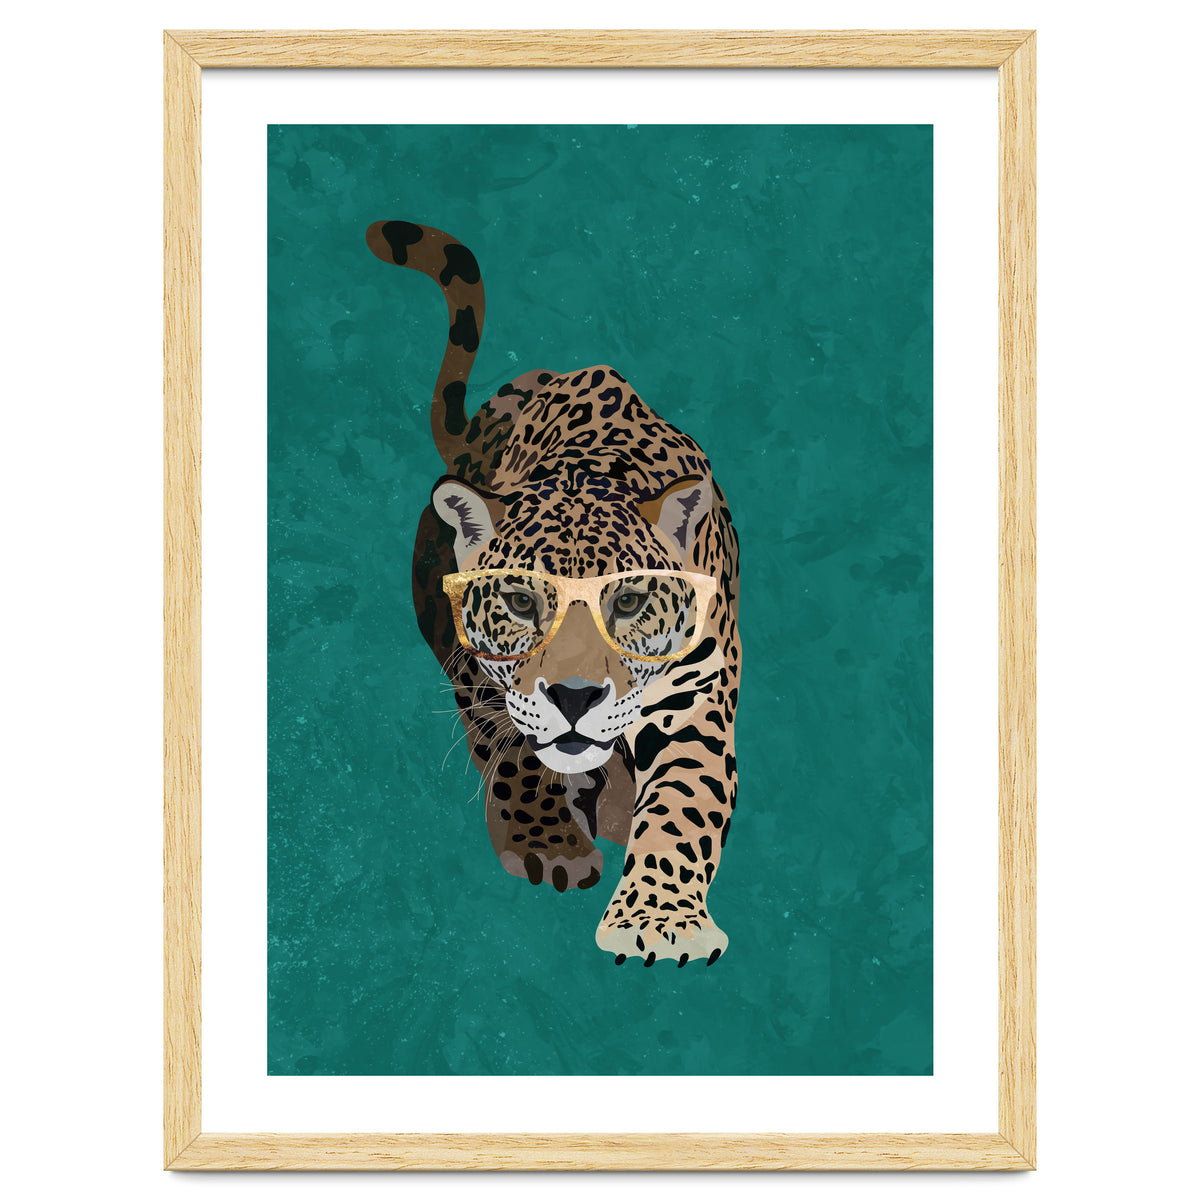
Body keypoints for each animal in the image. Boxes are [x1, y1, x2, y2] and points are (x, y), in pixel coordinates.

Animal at [366, 220, 741, 966]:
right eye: (520, 602)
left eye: (626, 602)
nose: (574, 697)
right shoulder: (482, 673)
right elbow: (514, 752)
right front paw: (549, 844)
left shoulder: (696, 695)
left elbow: (684, 803)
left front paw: (659, 921)